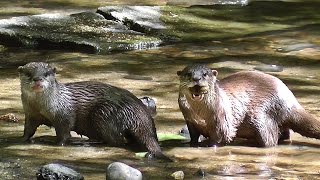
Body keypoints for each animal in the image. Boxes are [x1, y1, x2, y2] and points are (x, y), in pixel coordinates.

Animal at [18, 62, 168, 159]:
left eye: (46, 73)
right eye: (29, 73)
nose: (37, 79)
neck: (41, 107)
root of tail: (137, 109)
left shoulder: (64, 114)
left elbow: (64, 132)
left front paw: (59, 143)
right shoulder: (30, 114)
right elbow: (28, 129)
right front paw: (22, 139)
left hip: (104, 114)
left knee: (116, 141)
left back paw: (86, 142)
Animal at [178, 64, 320, 147]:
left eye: (205, 74)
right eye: (188, 74)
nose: (196, 79)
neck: (200, 115)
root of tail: (290, 100)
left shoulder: (220, 120)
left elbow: (218, 137)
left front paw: (210, 145)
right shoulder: (190, 120)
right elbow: (193, 135)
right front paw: (191, 144)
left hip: (262, 116)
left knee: (270, 139)